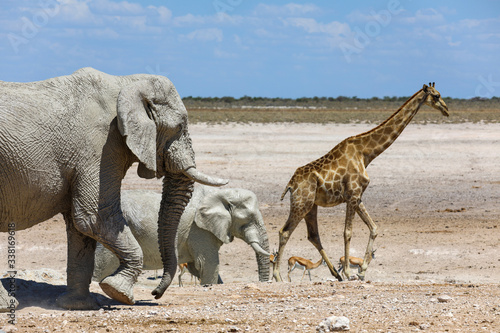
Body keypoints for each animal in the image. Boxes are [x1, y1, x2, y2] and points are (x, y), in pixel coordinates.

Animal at [0, 68, 227, 312]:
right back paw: (6, 305)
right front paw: (118, 292)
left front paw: (78, 305)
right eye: (179, 127)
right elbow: (94, 218)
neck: (126, 83)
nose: (155, 294)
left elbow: (80, 227)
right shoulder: (99, 146)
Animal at [93, 185, 274, 284]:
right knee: (101, 266)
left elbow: (197, 267)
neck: (223, 193)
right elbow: (208, 264)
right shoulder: (199, 230)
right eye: (248, 219)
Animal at [274, 82, 450, 280]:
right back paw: (278, 276)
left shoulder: (357, 196)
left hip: (311, 205)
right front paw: (350, 272)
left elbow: (374, 228)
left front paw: (362, 270)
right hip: (301, 203)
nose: (446, 110)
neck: (365, 154)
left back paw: (335, 274)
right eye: (436, 95)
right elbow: (347, 232)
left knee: (313, 235)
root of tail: (290, 184)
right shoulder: (352, 195)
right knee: (285, 232)